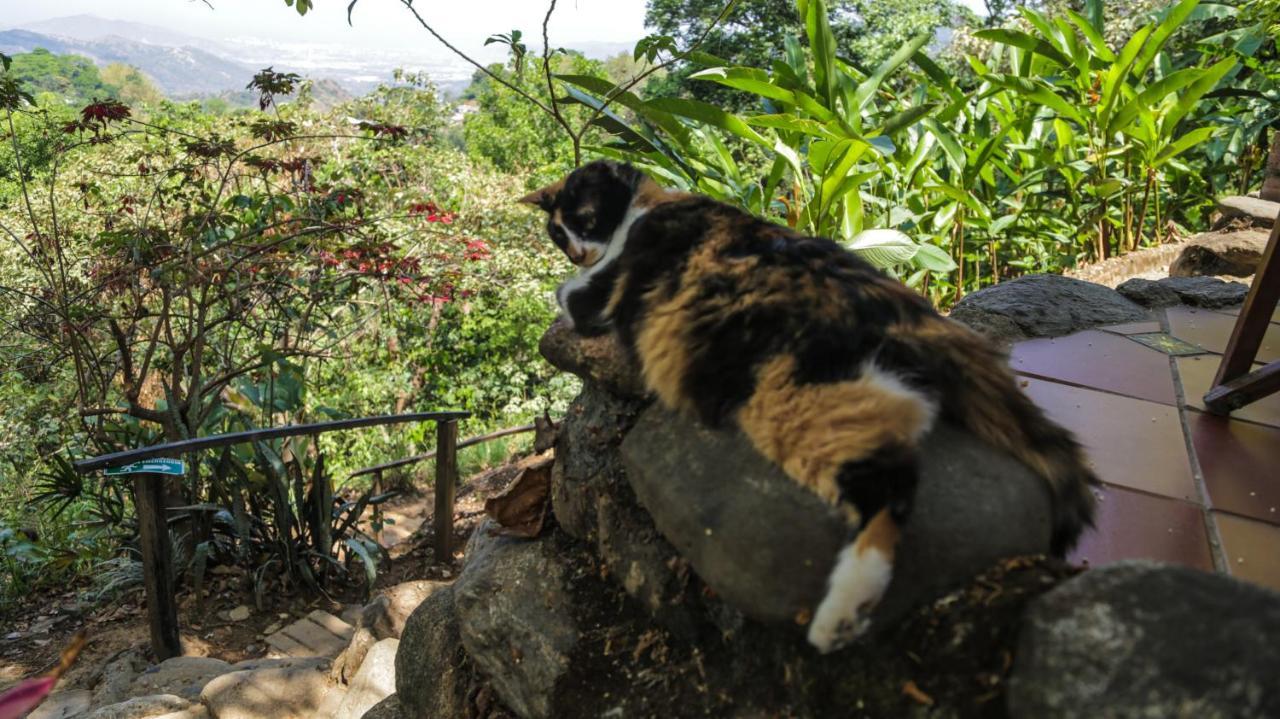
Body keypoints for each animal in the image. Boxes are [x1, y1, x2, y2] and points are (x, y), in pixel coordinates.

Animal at [522, 159, 1100, 652]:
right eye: (557, 233)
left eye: (585, 219)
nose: (576, 251)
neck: (645, 207)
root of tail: (910, 314)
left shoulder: (594, 295)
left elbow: (565, 293)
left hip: (801, 403)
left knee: (890, 487)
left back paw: (841, 616)